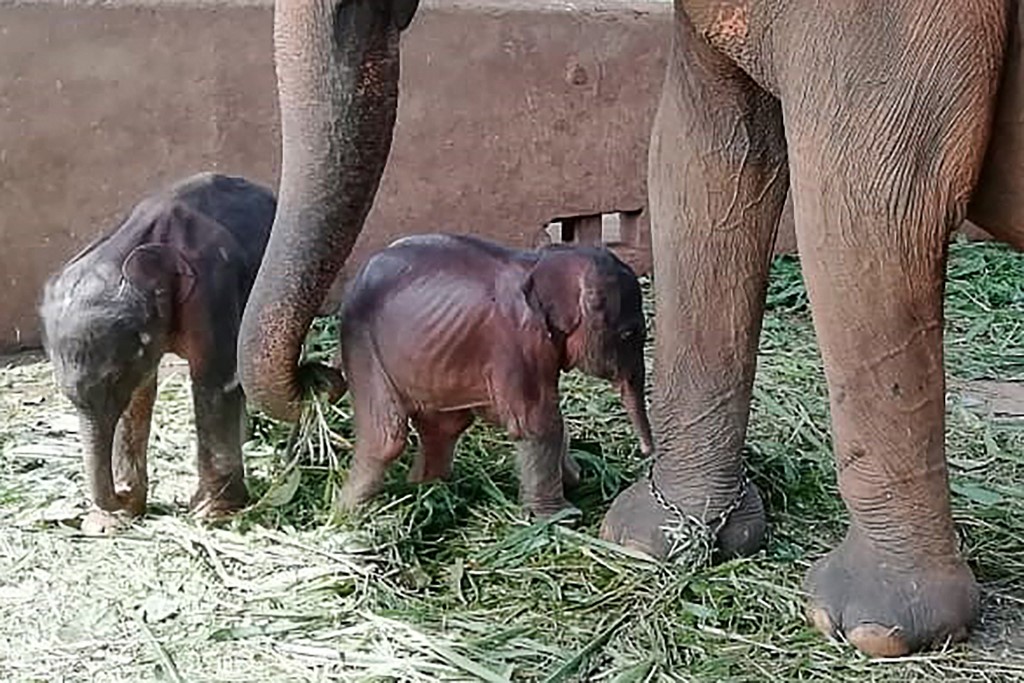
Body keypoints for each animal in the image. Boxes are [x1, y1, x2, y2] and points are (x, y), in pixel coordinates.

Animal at [40, 172, 276, 532]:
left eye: (114, 377)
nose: (120, 494)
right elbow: (139, 395)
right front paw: (113, 522)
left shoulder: (212, 288)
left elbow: (213, 378)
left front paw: (212, 515)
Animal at [335, 233, 655, 518]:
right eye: (630, 334)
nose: (646, 452)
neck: (545, 261)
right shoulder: (517, 342)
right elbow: (536, 421)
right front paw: (560, 516)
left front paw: (574, 478)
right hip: (363, 344)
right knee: (386, 438)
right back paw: (348, 513)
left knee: (444, 426)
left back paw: (429, 490)